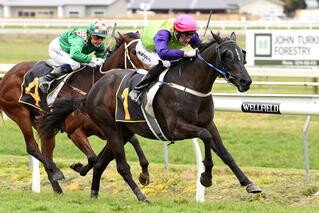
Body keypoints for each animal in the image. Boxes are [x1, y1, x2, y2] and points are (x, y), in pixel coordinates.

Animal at [0, 32, 149, 194]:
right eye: (135, 52)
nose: (148, 74)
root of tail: (6, 76)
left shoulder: (109, 128)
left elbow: (133, 140)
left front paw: (144, 174)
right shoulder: (74, 131)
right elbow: (93, 158)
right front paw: (78, 168)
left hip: (43, 124)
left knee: (46, 152)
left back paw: (57, 189)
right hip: (20, 114)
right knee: (32, 147)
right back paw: (57, 172)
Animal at [39, 31, 262, 201]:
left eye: (242, 54)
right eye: (226, 55)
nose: (246, 81)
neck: (190, 85)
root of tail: (92, 91)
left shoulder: (209, 123)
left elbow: (225, 153)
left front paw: (249, 184)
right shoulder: (176, 128)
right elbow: (204, 137)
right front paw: (206, 177)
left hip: (123, 131)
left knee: (101, 162)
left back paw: (94, 192)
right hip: (110, 128)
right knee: (121, 166)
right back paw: (141, 196)